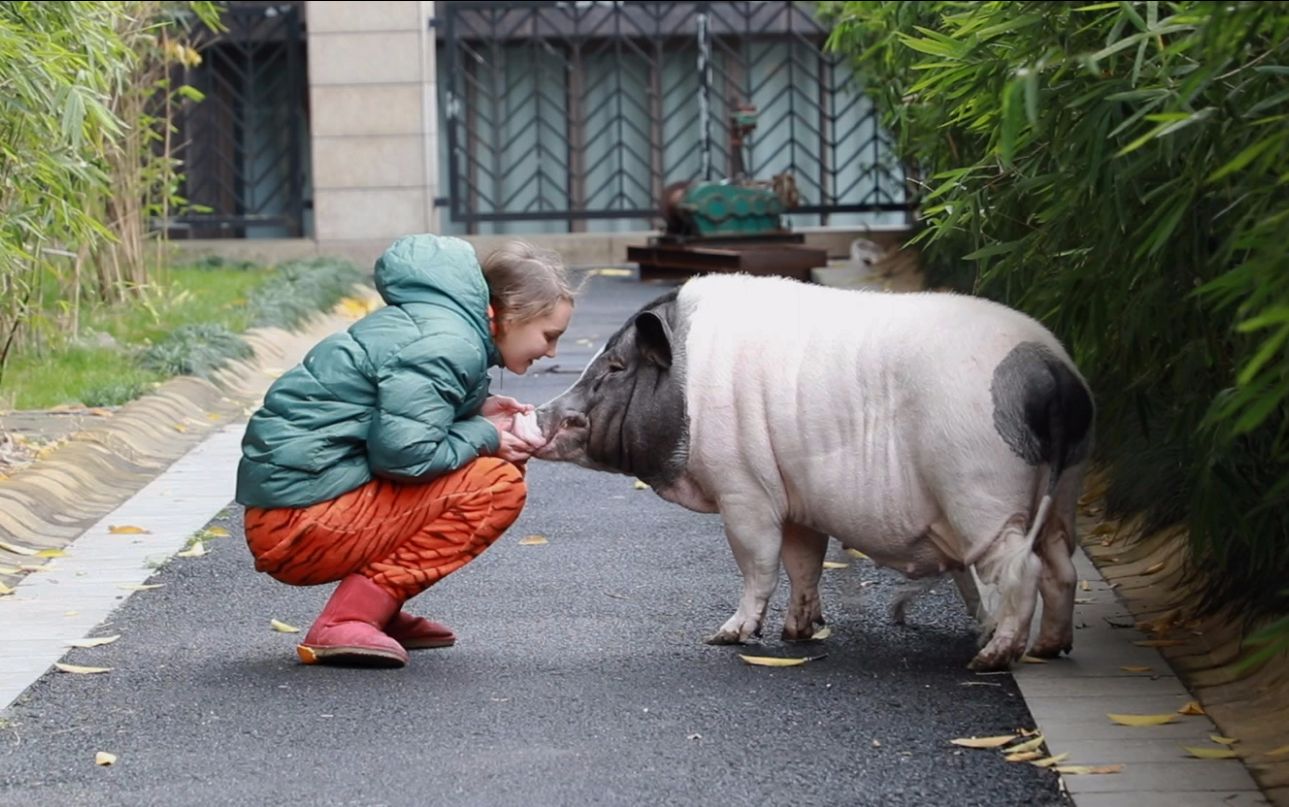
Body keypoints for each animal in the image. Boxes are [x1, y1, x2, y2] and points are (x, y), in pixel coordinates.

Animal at [538, 273, 1093, 670]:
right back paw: (1048, 649)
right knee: (1061, 567)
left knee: (1022, 570)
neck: (685, 386)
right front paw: (796, 633)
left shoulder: (743, 489)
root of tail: (1054, 374)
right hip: (1065, 492)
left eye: (614, 366)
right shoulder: (795, 499)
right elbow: (803, 562)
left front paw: (725, 636)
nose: (544, 413)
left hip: (982, 495)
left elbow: (758, 562)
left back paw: (990, 660)